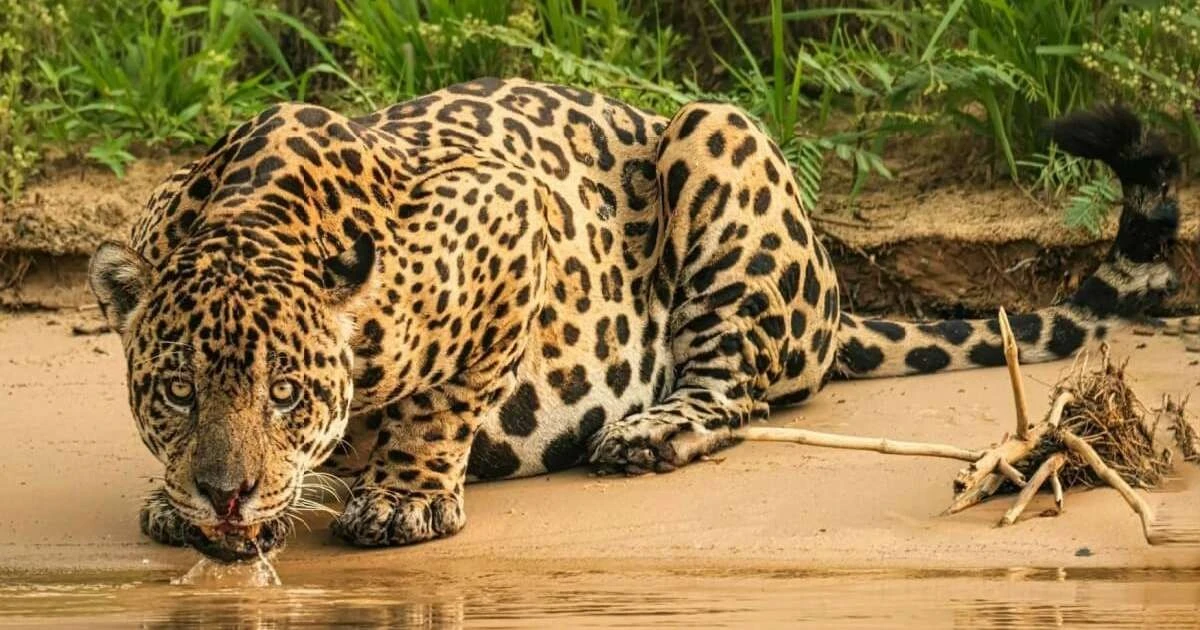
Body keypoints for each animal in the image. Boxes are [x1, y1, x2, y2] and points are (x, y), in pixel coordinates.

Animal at [88, 78, 1181, 562]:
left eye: (287, 394)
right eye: (176, 391)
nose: (226, 494)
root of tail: (834, 299)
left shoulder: (507, 211)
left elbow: (443, 402)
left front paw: (402, 498)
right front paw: (179, 500)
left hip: (717, 137)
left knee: (735, 389)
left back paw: (647, 432)